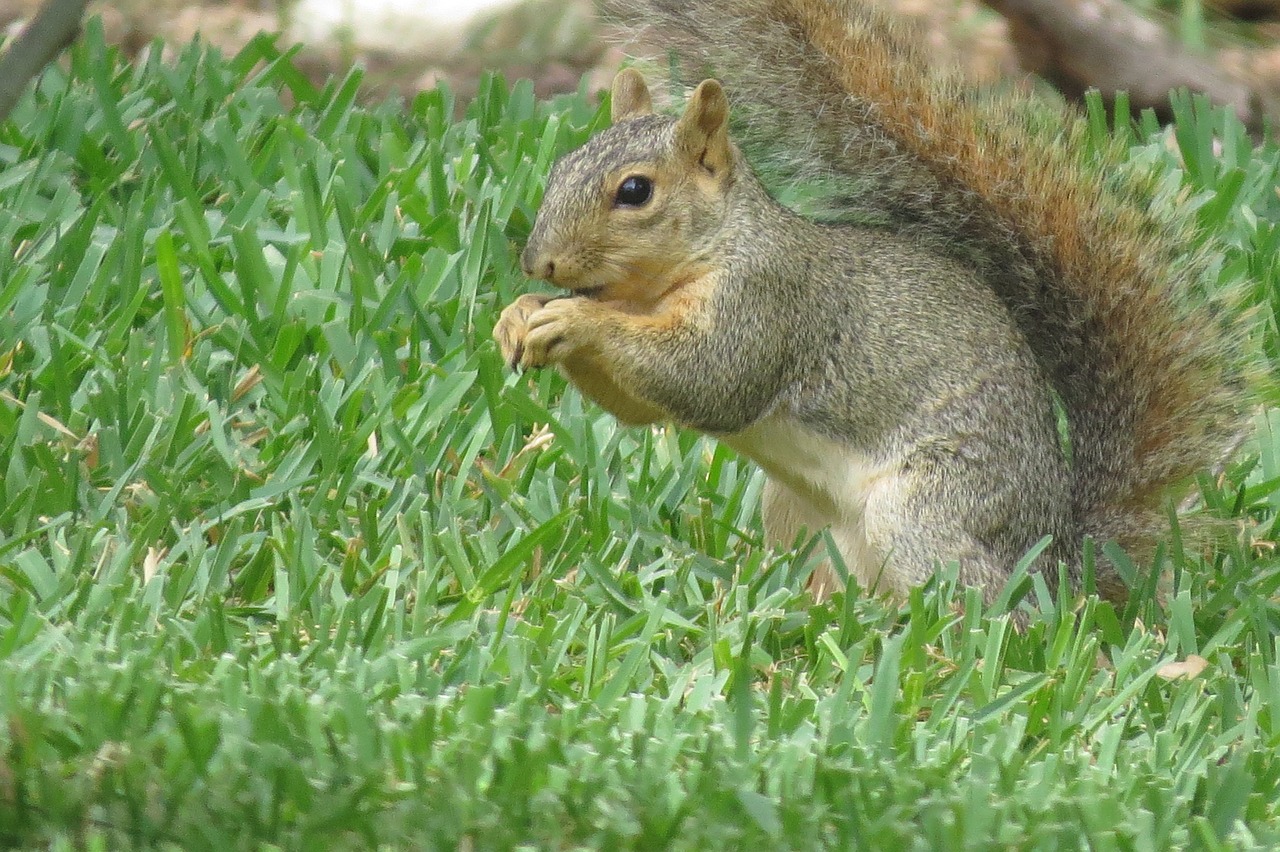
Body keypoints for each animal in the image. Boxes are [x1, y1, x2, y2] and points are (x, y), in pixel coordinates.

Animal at [491, 0, 1249, 603]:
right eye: (561, 167)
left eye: (635, 191)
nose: (538, 262)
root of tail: (1058, 567)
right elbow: (642, 408)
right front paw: (519, 314)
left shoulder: (768, 304)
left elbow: (708, 381)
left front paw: (576, 318)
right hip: (794, 512)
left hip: (931, 511)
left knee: (994, 610)